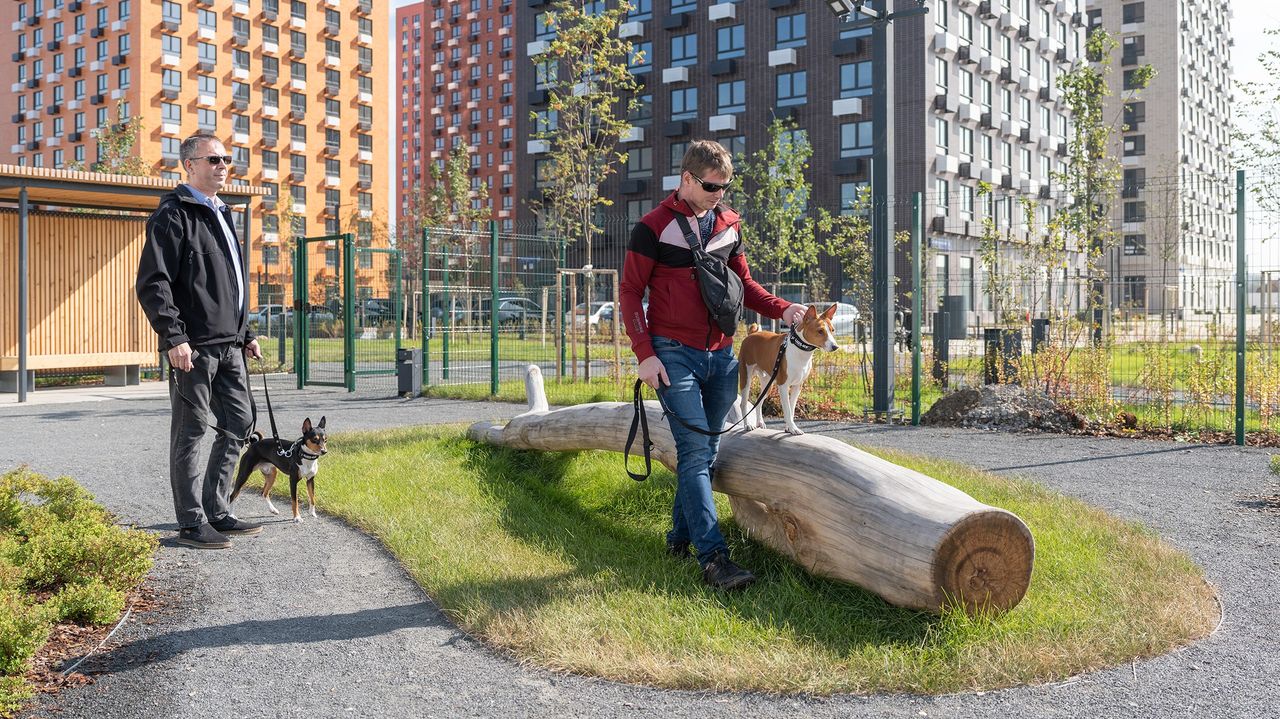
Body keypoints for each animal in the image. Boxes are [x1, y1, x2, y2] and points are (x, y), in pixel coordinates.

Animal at [742, 304, 839, 434]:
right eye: (820, 331)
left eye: (832, 330)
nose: (835, 346)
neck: (800, 350)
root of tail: (751, 334)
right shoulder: (783, 385)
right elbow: (787, 410)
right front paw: (793, 428)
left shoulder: (798, 386)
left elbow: (792, 409)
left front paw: (790, 427)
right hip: (746, 379)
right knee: (743, 403)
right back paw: (747, 425)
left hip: (768, 384)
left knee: (758, 401)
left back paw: (760, 422)